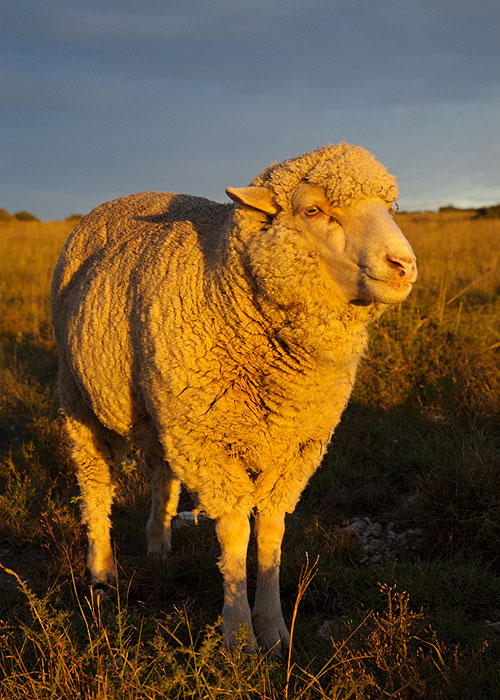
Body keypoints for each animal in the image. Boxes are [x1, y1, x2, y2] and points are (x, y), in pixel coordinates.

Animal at [51, 141, 418, 652]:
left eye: (391, 208)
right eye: (313, 210)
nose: (403, 265)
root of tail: (126, 197)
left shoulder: (296, 446)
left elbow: (271, 529)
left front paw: (275, 629)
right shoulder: (205, 441)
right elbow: (234, 529)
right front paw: (240, 635)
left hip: (162, 409)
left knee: (161, 474)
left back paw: (159, 545)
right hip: (80, 397)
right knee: (96, 484)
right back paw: (103, 572)